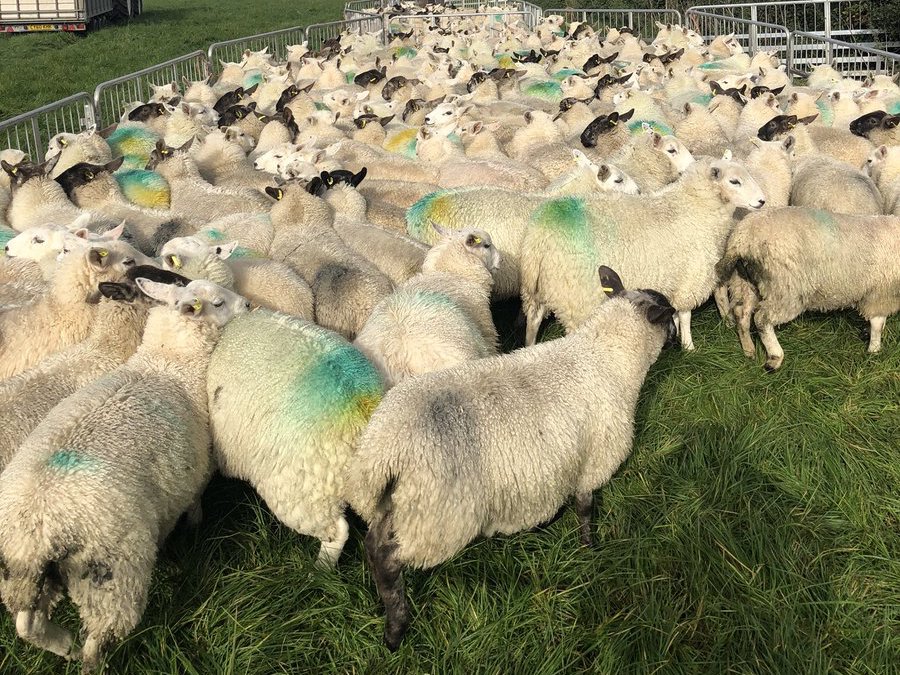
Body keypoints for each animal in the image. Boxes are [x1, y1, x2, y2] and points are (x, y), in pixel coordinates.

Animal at [0, 276, 248, 672]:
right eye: (220, 302)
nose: (249, 306)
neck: (167, 364)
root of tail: (36, 531)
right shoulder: (193, 475)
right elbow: (191, 507)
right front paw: (192, 528)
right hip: (112, 578)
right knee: (98, 637)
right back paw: (89, 659)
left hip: (24, 576)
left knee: (28, 623)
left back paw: (63, 645)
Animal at [345, 266, 676, 650]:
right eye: (670, 316)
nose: (676, 339)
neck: (607, 359)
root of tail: (385, 450)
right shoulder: (593, 461)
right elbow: (585, 508)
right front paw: (589, 548)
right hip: (438, 516)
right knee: (387, 560)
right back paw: (396, 629)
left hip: (400, 504)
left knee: (373, 544)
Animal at [519, 157, 766, 350]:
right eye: (734, 181)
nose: (762, 201)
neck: (695, 207)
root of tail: (538, 236)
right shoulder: (690, 276)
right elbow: (685, 314)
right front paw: (689, 347)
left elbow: (675, 314)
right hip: (575, 298)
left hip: (539, 290)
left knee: (533, 320)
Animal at [716, 207, 900, 370]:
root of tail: (741, 240)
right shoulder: (880, 294)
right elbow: (878, 323)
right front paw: (874, 351)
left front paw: (867, 336)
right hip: (785, 289)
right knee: (762, 319)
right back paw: (775, 357)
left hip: (743, 282)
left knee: (741, 314)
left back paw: (749, 350)